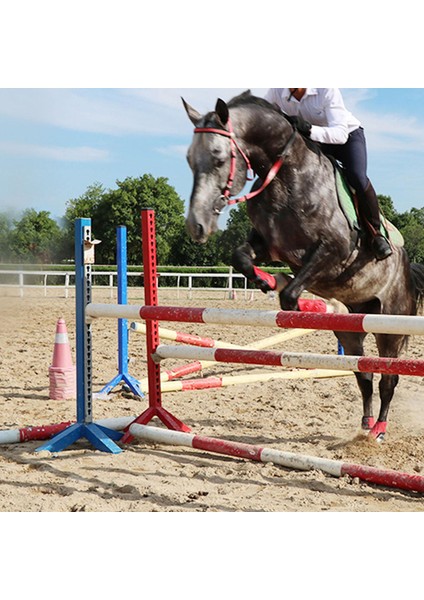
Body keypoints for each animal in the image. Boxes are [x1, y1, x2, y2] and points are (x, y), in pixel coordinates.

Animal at [182, 91, 424, 442]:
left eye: (218, 158)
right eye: (189, 159)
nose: (196, 226)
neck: (287, 174)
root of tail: (407, 267)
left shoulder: (333, 252)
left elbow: (291, 294)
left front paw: (291, 293)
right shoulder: (270, 245)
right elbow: (241, 258)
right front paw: (269, 281)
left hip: (389, 324)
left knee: (388, 378)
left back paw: (378, 430)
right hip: (353, 327)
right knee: (364, 375)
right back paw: (364, 426)